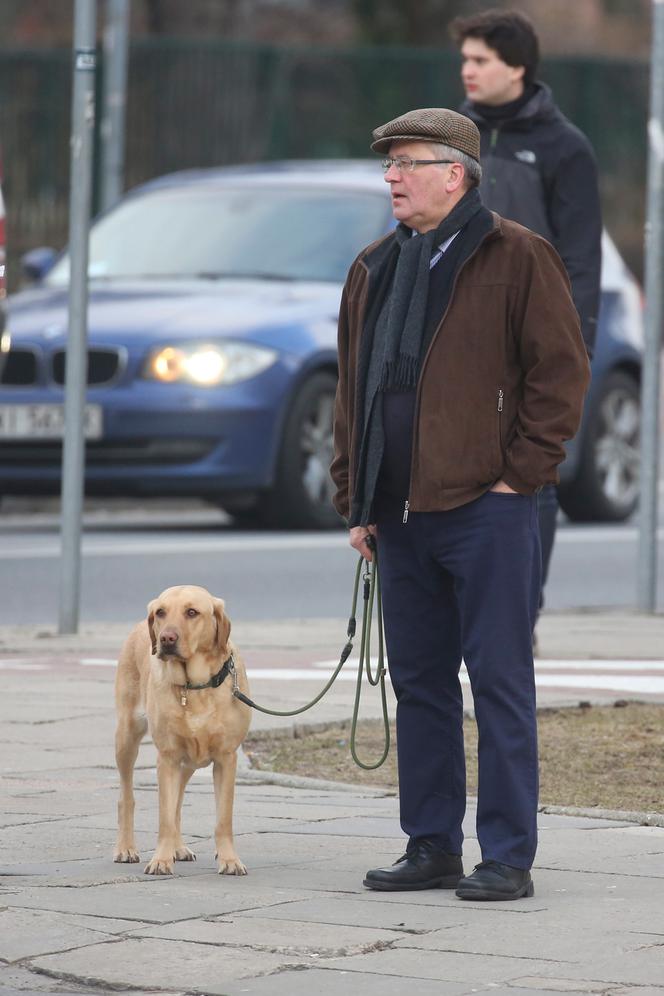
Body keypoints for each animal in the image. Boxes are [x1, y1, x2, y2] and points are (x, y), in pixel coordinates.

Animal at [113, 588, 250, 876]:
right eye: (161, 612)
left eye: (192, 612)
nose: (166, 638)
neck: (195, 687)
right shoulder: (168, 756)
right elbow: (164, 816)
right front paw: (161, 860)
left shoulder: (226, 758)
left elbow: (223, 818)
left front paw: (229, 859)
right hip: (127, 737)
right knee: (127, 797)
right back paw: (126, 848)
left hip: (190, 761)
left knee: (177, 802)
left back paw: (179, 848)